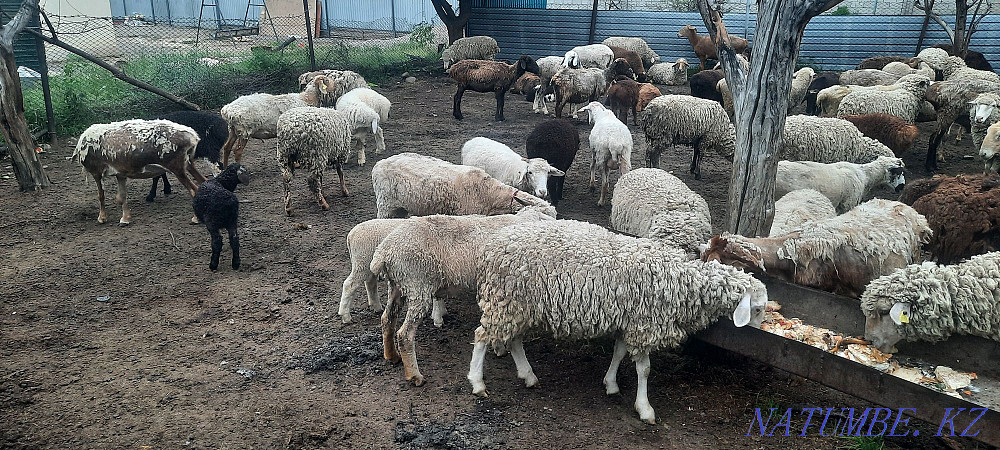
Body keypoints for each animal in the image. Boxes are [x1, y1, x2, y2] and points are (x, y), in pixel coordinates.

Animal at [73, 119, 202, 226]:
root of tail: (193, 137)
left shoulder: (96, 172)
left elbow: (101, 195)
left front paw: (102, 218)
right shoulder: (120, 173)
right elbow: (121, 196)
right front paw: (125, 219)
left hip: (176, 167)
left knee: (194, 190)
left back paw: (196, 218)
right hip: (188, 163)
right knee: (202, 181)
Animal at [373, 208, 556, 386]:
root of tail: (384, 253)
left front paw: (499, 347)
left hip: (397, 285)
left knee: (387, 319)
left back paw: (392, 356)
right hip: (417, 284)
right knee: (405, 334)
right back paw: (415, 375)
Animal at [467, 219, 769, 424]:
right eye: (756, 309)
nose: (757, 336)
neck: (684, 282)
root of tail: (491, 246)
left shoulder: (630, 321)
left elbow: (619, 352)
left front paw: (610, 384)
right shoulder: (645, 325)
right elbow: (644, 370)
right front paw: (645, 408)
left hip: (517, 305)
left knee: (514, 340)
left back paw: (528, 376)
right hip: (504, 300)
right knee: (482, 336)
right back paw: (478, 383)